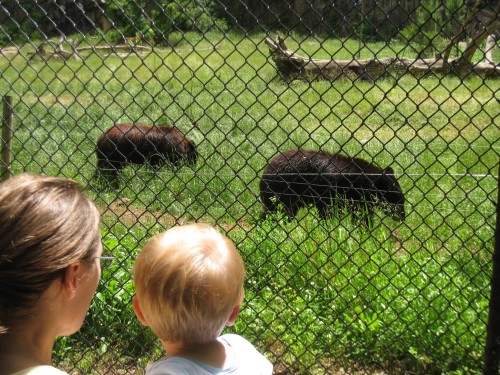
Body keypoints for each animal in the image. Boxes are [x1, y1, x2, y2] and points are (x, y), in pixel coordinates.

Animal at [260, 148, 404, 222]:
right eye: (396, 199)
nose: (402, 217)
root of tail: (265, 171)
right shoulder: (330, 189)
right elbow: (328, 211)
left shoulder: (358, 199)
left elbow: (363, 214)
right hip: (280, 191)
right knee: (276, 210)